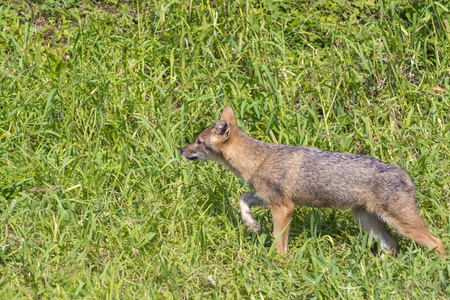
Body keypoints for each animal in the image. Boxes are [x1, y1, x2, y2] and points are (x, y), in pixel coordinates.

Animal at [179, 105, 446, 255]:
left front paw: (278, 264)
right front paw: (252, 224)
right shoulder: (269, 197)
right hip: (367, 221)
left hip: (402, 224)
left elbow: (278, 241)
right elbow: (243, 199)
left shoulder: (284, 207)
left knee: (438, 243)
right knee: (391, 246)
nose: (181, 150)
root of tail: (405, 173)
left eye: (198, 142)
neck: (258, 159)